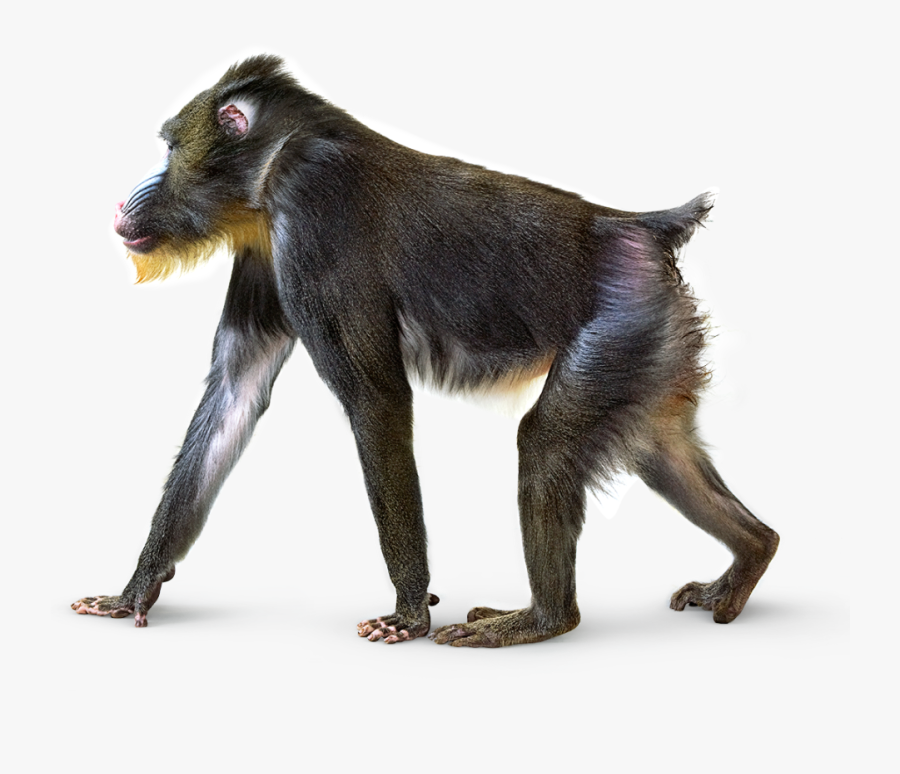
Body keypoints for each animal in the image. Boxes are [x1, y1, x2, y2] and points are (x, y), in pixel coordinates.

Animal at [72, 55, 779, 646]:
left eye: (170, 147)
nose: (126, 200)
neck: (275, 162)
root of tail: (643, 229)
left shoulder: (314, 210)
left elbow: (376, 395)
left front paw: (409, 614)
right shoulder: (263, 249)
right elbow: (233, 395)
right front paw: (133, 592)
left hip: (619, 329)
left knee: (545, 443)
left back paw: (542, 619)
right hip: (652, 349)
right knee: (662, 453)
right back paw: (751, 554)